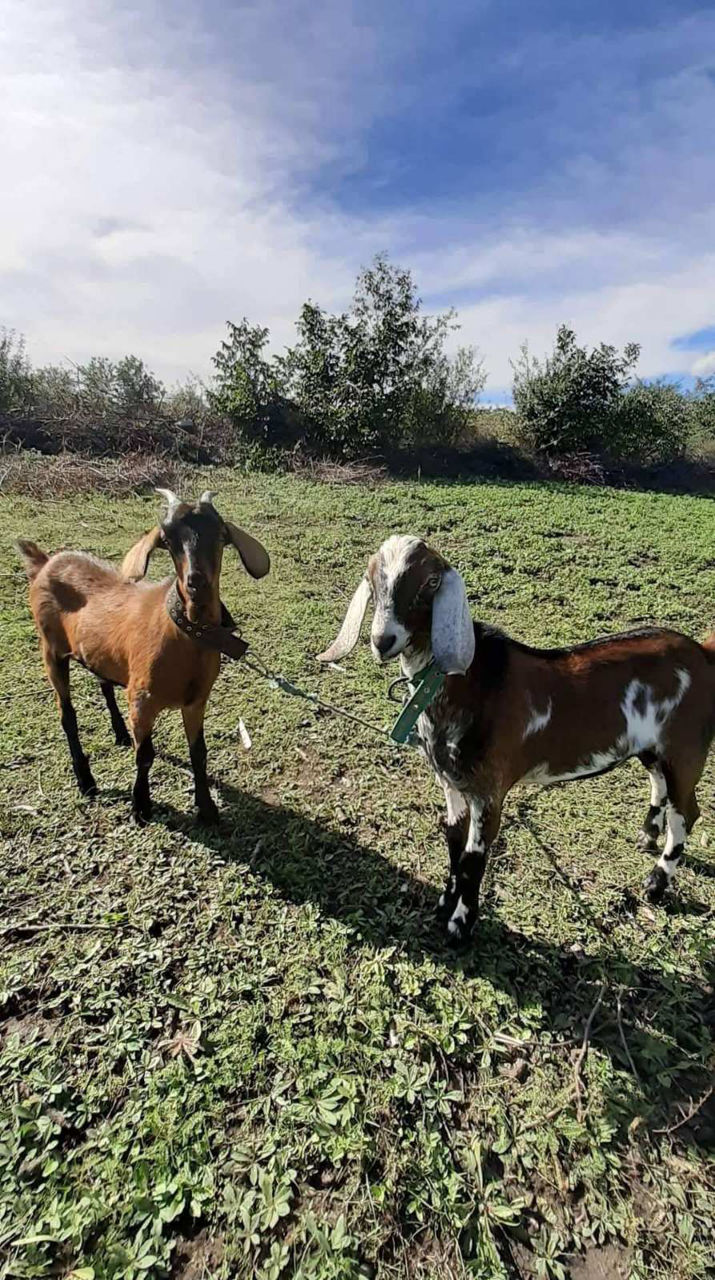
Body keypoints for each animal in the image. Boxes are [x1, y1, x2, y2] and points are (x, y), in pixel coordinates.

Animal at [16, 490, 270, 824]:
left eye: (219, 535)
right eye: (168, 539)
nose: (196, 581)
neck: (186, 632)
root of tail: (44, 563)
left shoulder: (196, 701)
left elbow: (198, 753)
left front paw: (206, 808)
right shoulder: (141, 699)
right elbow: (145, 755)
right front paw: (141, 805)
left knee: (104, 683)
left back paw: (120, 733)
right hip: (51, 650)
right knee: (67, 715)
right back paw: (86, 780)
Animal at [318, 534, 715, 946]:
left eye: (431, 582)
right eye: (372, 578)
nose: (383, 640)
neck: (473, 683)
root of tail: (703, 655)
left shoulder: (489, 792)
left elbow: (473, 859)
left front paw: (461, 924)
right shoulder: (452, 784)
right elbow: (453, 841)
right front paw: (445, 902)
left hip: (686, 750)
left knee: (687, 812)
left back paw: (656, 882)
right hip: (653, 749)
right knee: (659, 784)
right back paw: (648, 834)